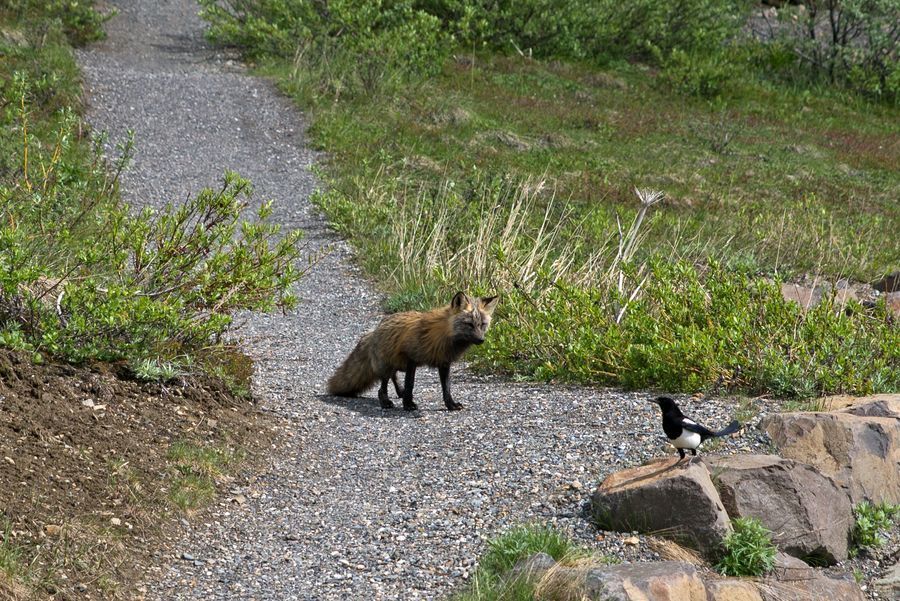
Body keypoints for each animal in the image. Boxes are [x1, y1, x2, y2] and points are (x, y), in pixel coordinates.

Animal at [326, 292, 500, 412]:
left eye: (483, 324)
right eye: (469, 324)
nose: (481, 340)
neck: (443, 337)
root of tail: (374, 330)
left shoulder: (444, 363)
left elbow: (446, 388)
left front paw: (450, 404)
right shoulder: (411, 359)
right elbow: (410, 384)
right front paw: (408, 404)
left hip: (396, 365)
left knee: (394, 377)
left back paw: (399, 392)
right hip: (387, 365)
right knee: (382, 386)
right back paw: (386, 401)